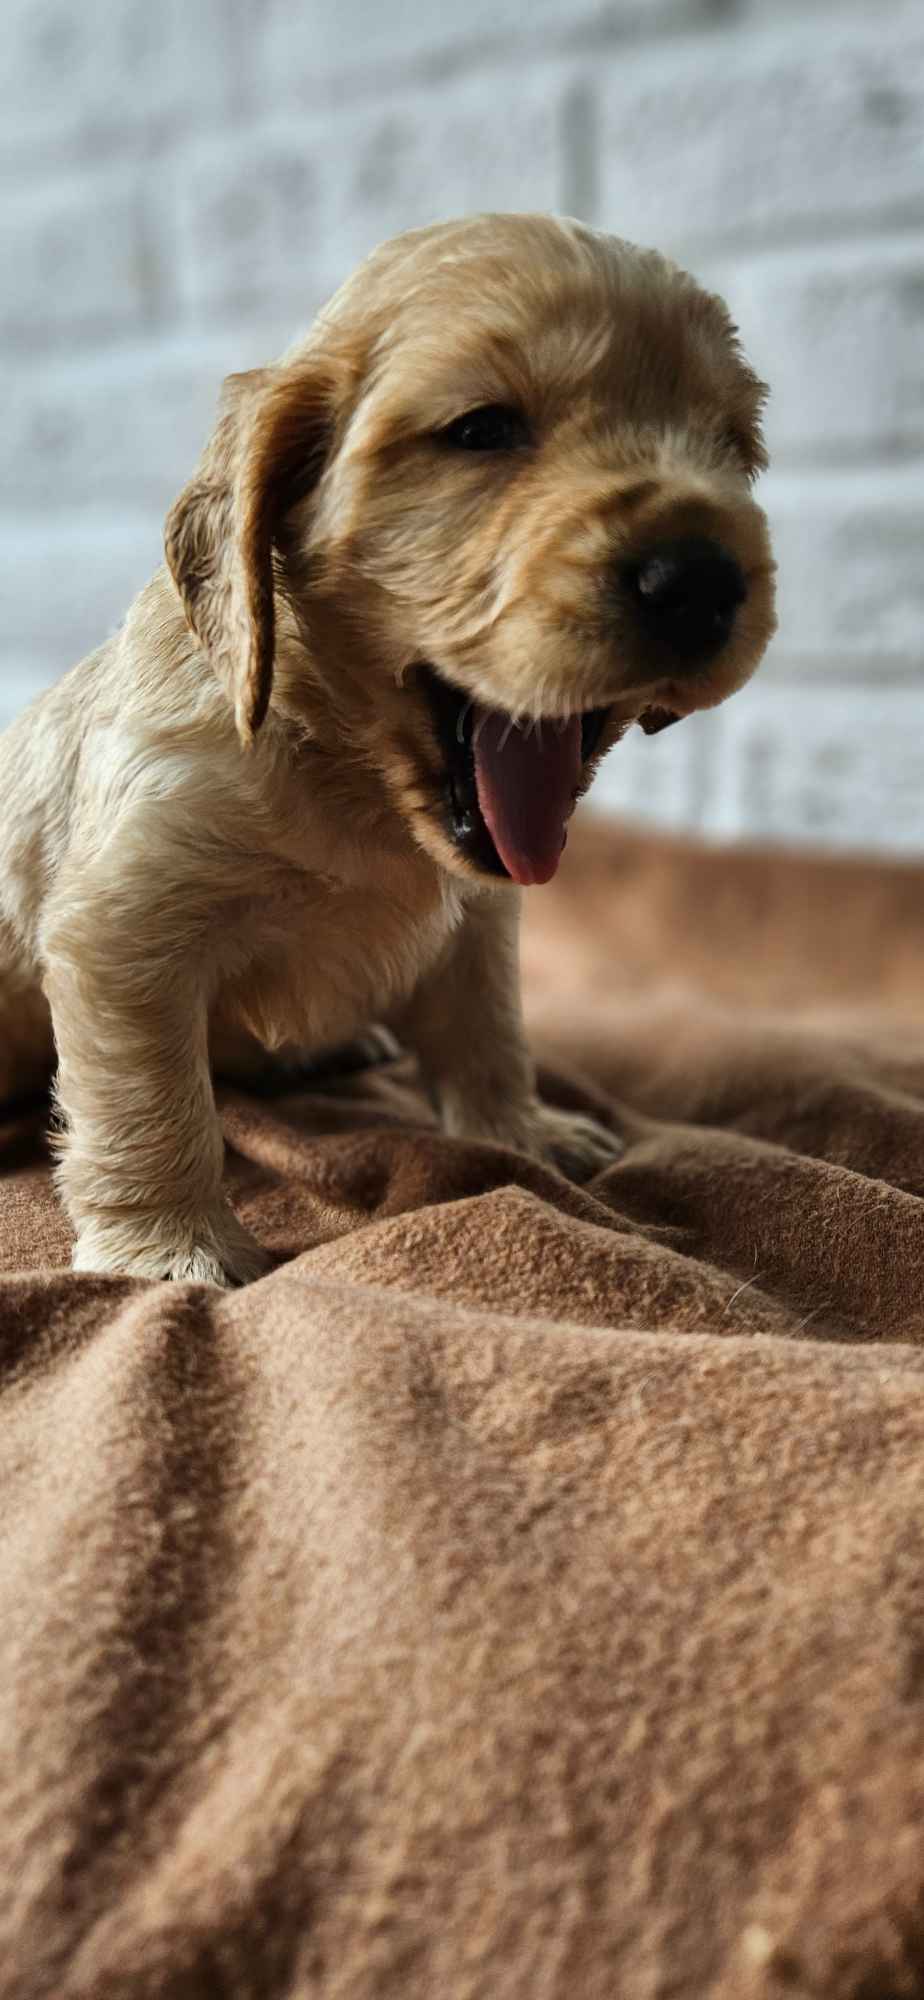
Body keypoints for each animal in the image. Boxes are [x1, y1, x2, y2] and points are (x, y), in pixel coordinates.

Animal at [0, 211, 776, 1288]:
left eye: (732, 447)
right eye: (482, 429)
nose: (703, 581)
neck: (346, 769)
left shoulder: (478, 917)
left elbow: (488, 1027)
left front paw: (521, 1128)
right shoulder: (124, 926)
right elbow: (150, 1097)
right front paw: (170, 1245)